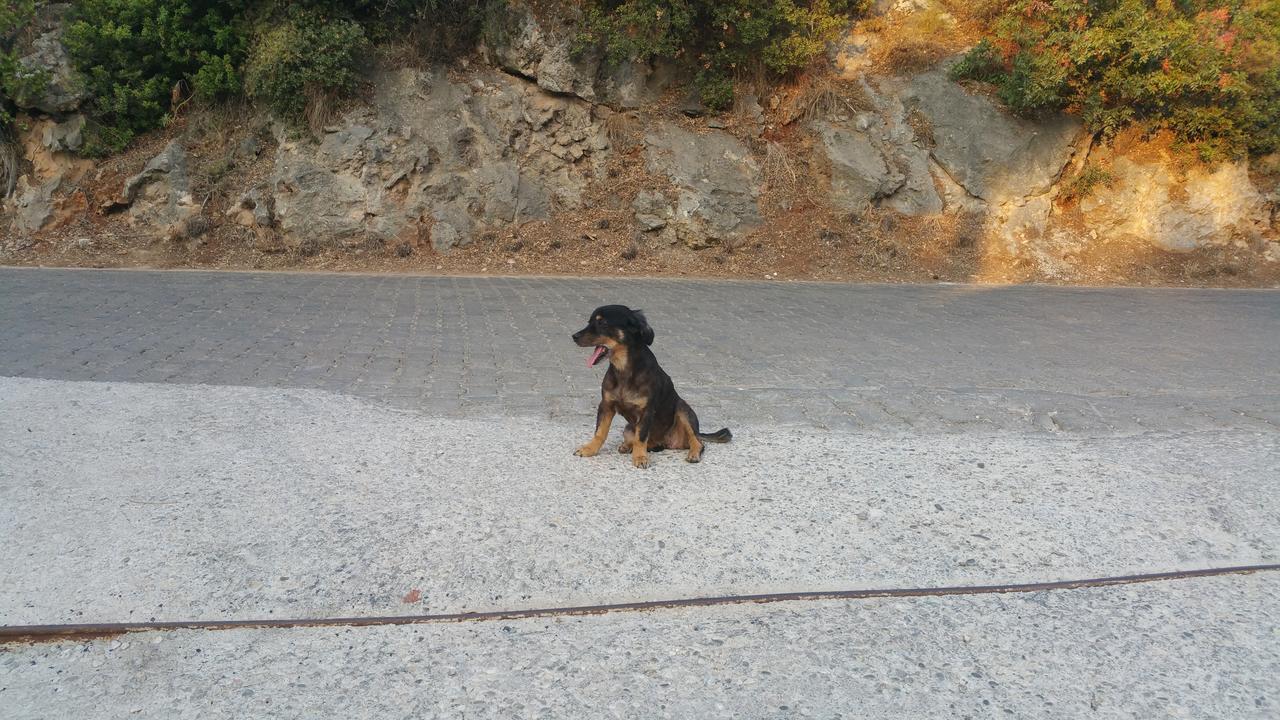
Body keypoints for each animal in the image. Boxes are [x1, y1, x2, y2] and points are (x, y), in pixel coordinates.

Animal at [570, 301, 732, 466]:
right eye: (589, 321)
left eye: (602, 323)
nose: (574, 337)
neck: (624, 369)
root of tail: (668, 442)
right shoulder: (606, 405)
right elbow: (600, 431)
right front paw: (589, 449)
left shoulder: (646, 411)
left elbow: (641, 437)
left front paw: (640, 457)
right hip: (628, 428)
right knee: (645, 442)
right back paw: (627, 446)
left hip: (683, 409)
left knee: (697, 441)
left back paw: (693, 453)